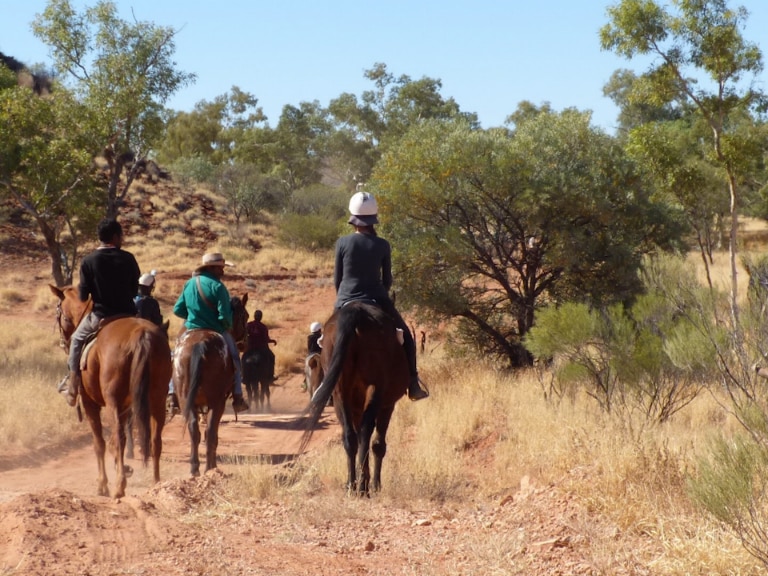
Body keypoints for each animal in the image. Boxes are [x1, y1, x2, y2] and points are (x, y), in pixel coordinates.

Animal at [50, 286, 172, 498]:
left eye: (60, 313)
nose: (63, 343)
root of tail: (142, 335)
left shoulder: (90, 404)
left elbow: (99, 443)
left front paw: (103, 484)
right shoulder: (125, 407)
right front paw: (123, 468)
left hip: (112, 401)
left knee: (117, 438)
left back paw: (119, 487)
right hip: (157, 398)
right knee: (155, 440)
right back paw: (155, 484)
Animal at [172, 294, 248, 474]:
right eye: (246, 316)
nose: (244, 343)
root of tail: (200, 345)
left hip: (185, 399)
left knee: (194, 430)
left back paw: (195, 468)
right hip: (217, 401)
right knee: (211, 432)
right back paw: (210, 468)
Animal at [300, 302, 412, 496]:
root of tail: (354, 313)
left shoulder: (356, 407)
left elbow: (359, 438)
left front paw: (363, 479)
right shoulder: (387, 404)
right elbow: (377, 442)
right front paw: (374, 484)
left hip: (340, 393)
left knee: (350, 436)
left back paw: (352, 485)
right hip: (375, 389)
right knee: (368, 433)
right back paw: (363, 487)